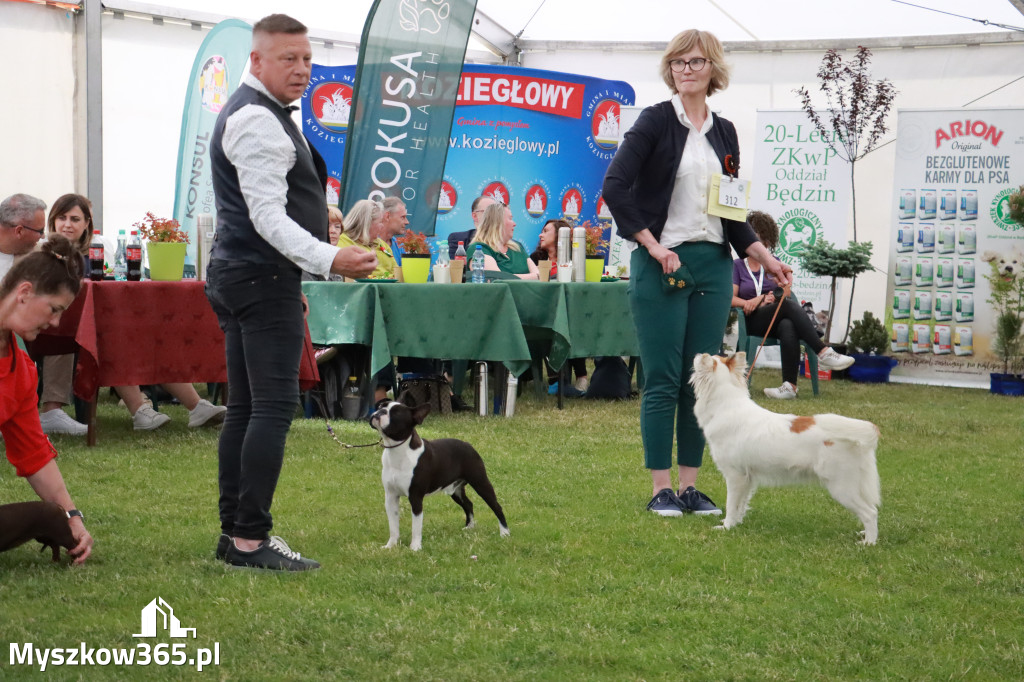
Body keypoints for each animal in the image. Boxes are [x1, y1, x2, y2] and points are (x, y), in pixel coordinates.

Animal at [370, 399, 509, 548]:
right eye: (381, 406)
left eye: (396, 413)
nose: (380, 411)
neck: (397, 450)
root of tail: (468, 444)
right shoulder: (390, 496)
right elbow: (393, 525)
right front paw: (391, 545)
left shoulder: (415, 497)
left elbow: (416, 526)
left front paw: (415, 547)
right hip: (456, 490)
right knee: (468, 504)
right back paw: (470, 527)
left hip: (480, 482)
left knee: (496, 506)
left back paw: (505, 533)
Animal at [688, 352, 880, 544]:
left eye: (706, 357)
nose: (697, 354)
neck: (726, 405)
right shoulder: (747, 479)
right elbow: (741, 505)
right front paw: (736, 523)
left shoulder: (735, 476)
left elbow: (731, 504)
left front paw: (726, 527)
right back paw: (864, 534)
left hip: (841, 487)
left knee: (870, 513)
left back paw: (868, 543)